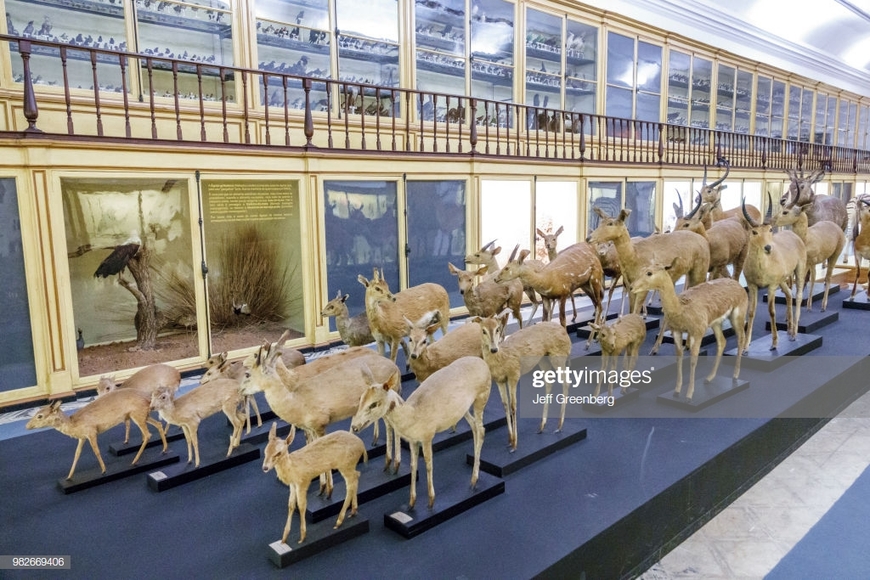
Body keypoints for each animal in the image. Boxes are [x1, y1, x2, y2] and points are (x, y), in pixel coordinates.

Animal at [25, 390, 169, 480]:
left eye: (39, 416)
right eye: (37, 412)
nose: (27, 426)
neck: (73, 422)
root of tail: (149, 399)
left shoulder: (92, 433)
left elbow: (96, 451)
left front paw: (104, 470)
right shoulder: (82, 438)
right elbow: (76, 454)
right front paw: (69, 477)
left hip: (137, 416)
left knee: (148, 435)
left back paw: (134, 462)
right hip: (144, 416)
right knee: (158, 425)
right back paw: (164, 450)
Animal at [352, 356, 490, 510]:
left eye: (374, 404)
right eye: (360, 398)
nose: (354, 427)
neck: (411, 414)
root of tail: (481, 362)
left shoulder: (427, 437)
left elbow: (429, 464)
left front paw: (431, 502)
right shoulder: (413, 441)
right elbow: (413, 465)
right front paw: (411, 503)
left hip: (481, 400)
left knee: (482, 430)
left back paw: (473, 481)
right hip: (464, 410)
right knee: (474, 427)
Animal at [744, 195, 812, 352]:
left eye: (770, 229)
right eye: (754, 232)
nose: (768, 247)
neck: (762, 268)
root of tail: (793, 235)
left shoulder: (771, 286)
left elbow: (771, 311)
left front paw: (774, 343)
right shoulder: (752, 286)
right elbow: (751, 312)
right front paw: (745, 346)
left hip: (799, 270)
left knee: (799, 295)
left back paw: (794, 334)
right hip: (782, 280)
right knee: (789, 294)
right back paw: (789, 329)